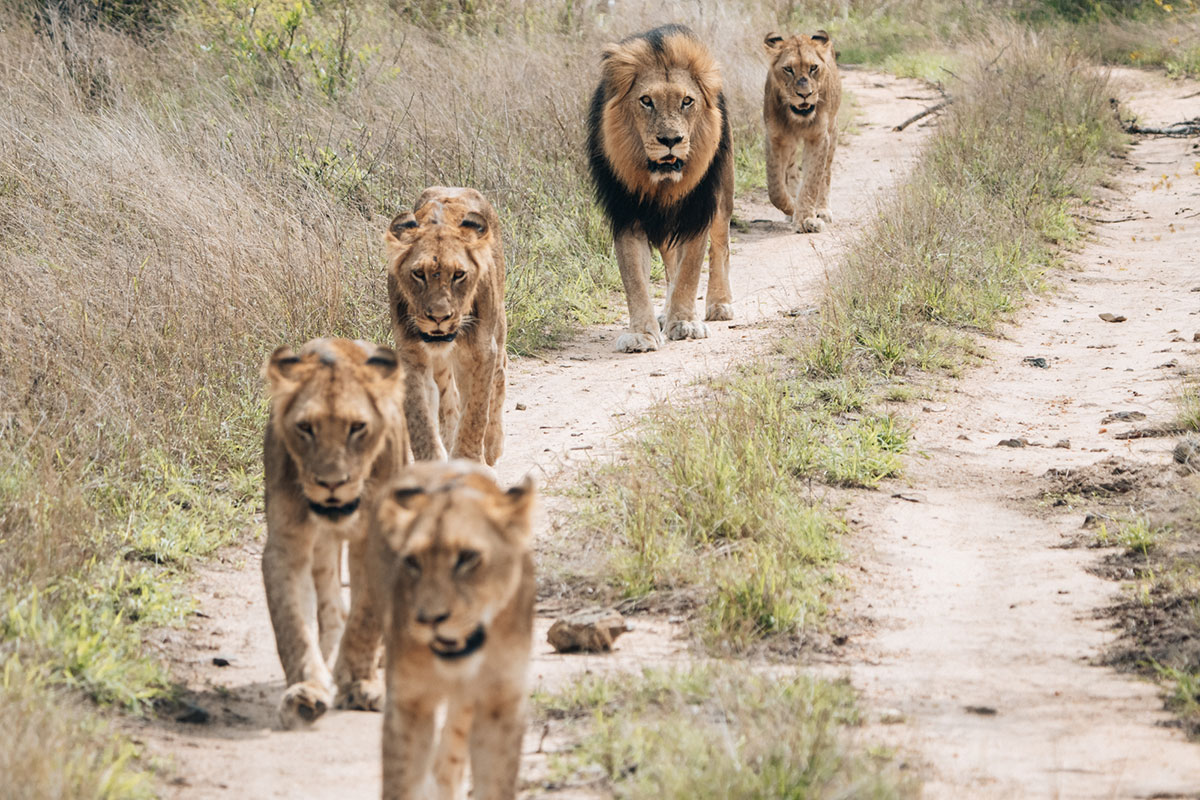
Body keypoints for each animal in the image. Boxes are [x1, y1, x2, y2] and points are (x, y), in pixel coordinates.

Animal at [261, 338, 408, 728]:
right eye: (305, 427)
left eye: (357, 427)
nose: (331, 483)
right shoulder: (286, 544)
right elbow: (292, 623)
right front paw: (306, 691)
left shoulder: (377, 538)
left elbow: (366, 616)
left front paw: (359, 683)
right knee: (329, 604)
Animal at [368, 460, 535, 800]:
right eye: (412, 561)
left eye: (468, 558)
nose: (430, 619)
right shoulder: (409, 702)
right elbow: (400, 782)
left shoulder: (501, 699)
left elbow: (496, 783)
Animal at [385, 186, 507, 465]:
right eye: (419, 274)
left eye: (458, 275)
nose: (439, 317)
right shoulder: (411, 353)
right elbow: (420, 417)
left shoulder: (482, 352)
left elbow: (476, 412)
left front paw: (469, 460)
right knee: (448, 398)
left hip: (498, 331)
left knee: (499, 376)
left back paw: (492, 446)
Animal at [587, 24, 735, 353]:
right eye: (646, 100)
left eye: (687, 101)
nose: (671, 140)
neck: (661, 183)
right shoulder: (627, 216)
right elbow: (635, 280)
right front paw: (642, 334)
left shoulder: (697, 211)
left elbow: (690, 271)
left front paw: (686, 323)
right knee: (669, 264)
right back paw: (666, 314)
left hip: (723, 198)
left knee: (720, 247)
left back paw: (719, 305)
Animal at [762, 30, 842, 234]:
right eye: (788, 69)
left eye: (813, 67)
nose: (804, 94)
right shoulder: (775, 138)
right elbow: (775, 188)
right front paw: (792, 208)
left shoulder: (819, 137)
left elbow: (812, 181)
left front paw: (807, 219)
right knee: (791, 173)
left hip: (833, 130)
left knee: (826, 173)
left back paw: (822, 210)